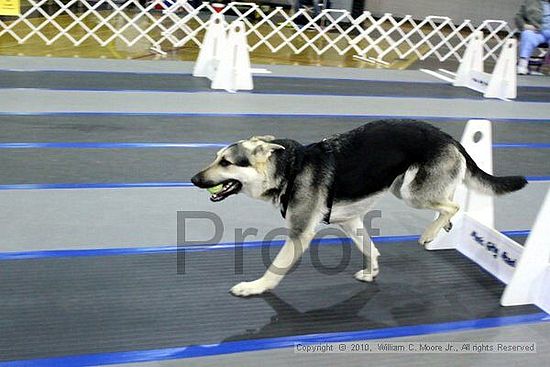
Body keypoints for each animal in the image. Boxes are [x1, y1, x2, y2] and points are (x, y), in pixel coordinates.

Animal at [192, 119, 528, 298]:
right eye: (216, 158)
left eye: (226, 162)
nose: (194, 179)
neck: (289, 169)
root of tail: (452, 140)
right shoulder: (349, 221)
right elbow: (369, 248)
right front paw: (372, 271)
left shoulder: (299, 235)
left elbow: (275, 268)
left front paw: (256, 287)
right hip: (401, 186)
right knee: (449, 199)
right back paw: (441, 228)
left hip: (411, 193)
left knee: (453, 204)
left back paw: (431, 233)